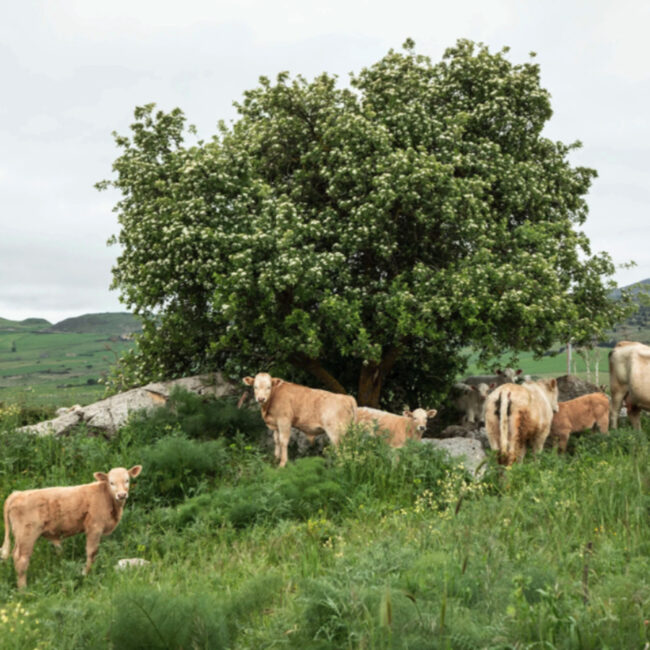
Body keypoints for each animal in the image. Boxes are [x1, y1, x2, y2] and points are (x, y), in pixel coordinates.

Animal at [0, 460, 142, 588]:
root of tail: (17, 494)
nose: (122, 495)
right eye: (111, 482)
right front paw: (85, 574)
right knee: (21, 559)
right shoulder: (94, 527)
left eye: (127, 480)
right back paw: (23, 590)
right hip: (27, 534)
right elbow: (92, 552)